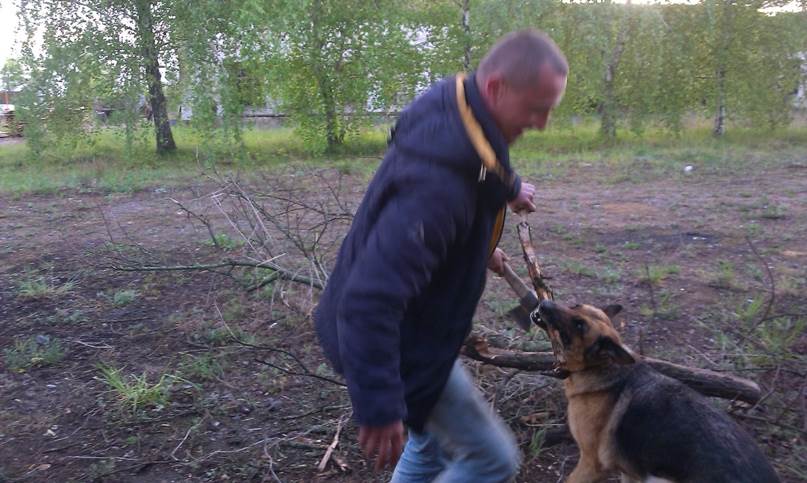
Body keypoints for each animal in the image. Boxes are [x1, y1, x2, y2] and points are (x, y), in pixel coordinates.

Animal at [533, 299, 780, 483]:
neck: (601, 368)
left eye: (579, 325)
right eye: (575, 306)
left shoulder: (591, 464)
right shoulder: (630, 473)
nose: (544, 303)